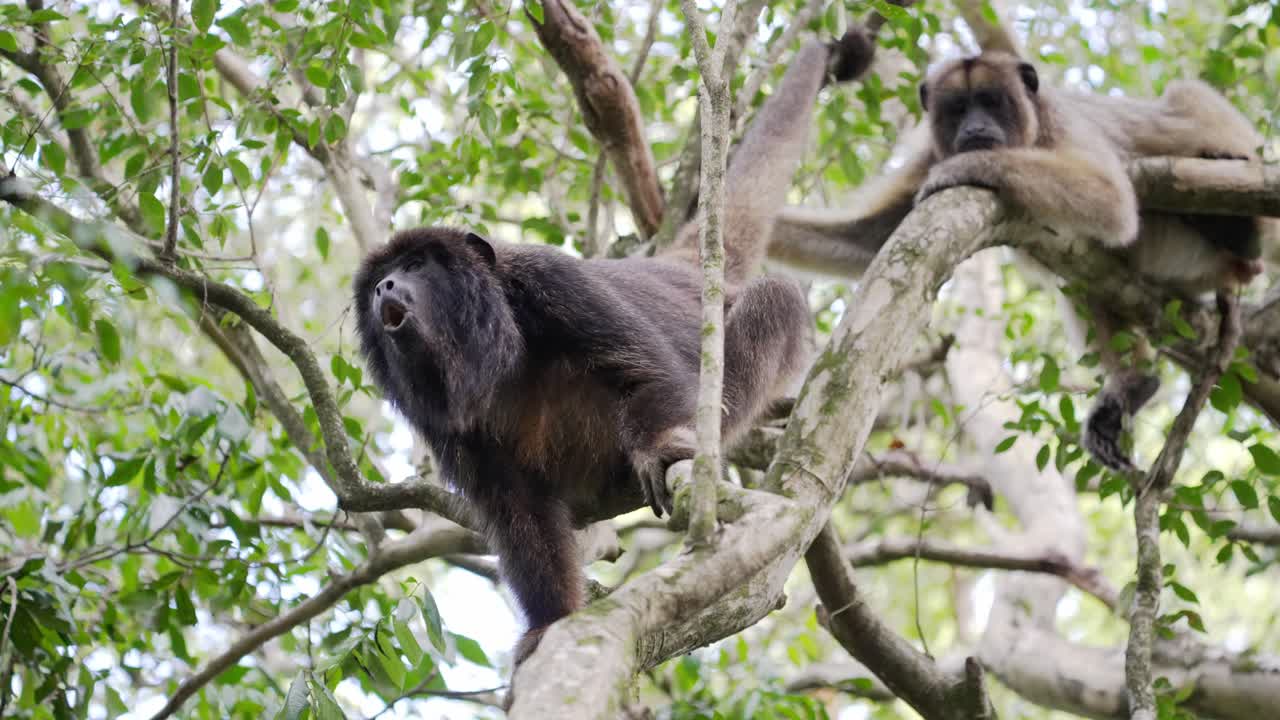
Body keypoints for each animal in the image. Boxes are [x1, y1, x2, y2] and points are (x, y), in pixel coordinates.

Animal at [352, 30, 877, 665]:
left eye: (416, 265)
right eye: (382, 276)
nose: (385, 286)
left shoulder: (546, 279)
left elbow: (643, 370)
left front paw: (662, 447)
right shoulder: (440, 422)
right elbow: (517, 510)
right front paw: (550, 622)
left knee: (773, 299)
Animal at [764, 50, 1275, 472]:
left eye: (991, 102)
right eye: (958, 109)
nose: (974, 129)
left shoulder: (1056, 120)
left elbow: (1111, 199)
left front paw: (961, 169)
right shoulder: (930, 148)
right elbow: (867, 239)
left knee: (1182, 99)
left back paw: (1241, 229)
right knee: (1086, 282)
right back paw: (1136, 383)